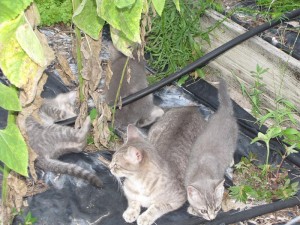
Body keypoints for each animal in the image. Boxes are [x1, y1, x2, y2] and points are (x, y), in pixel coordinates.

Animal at [184, 79, 238, 221]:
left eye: (217, 208)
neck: (203, 172)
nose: (212, 218)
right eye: (203, 210)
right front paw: (192, 209)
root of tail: (224, 111)